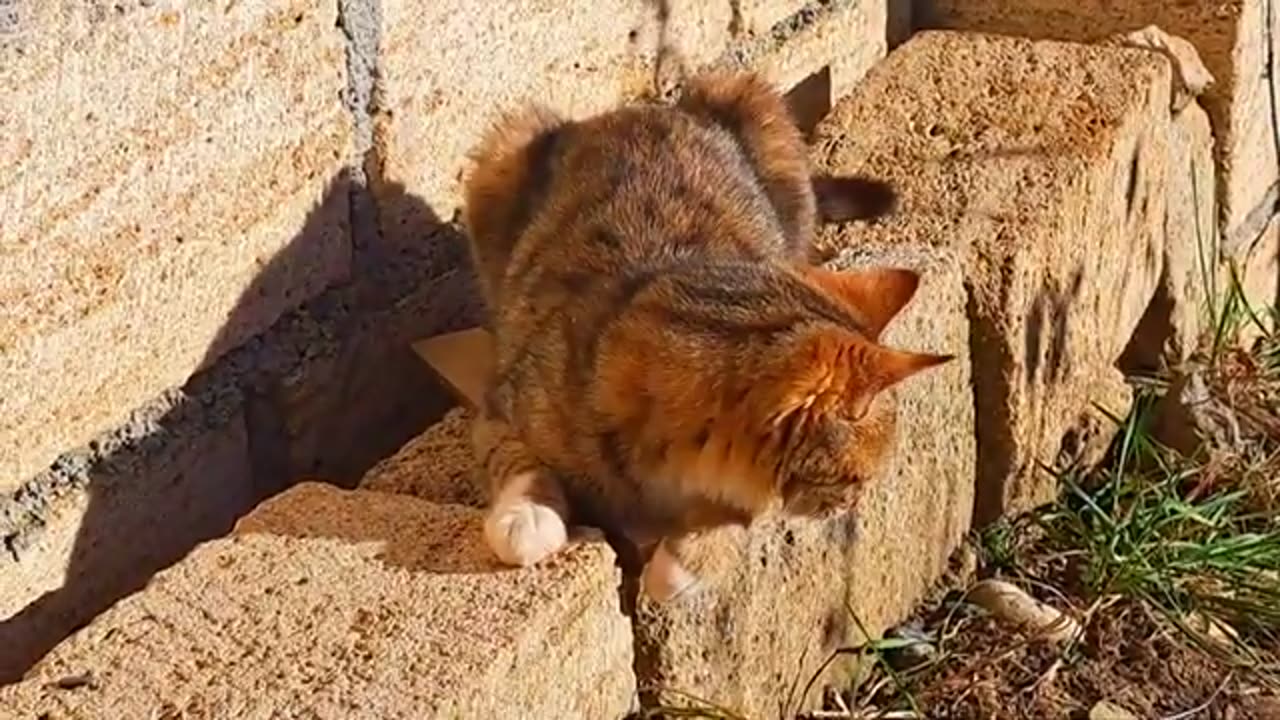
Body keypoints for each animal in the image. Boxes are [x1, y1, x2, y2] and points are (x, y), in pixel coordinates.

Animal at [460, 71, 952, 599]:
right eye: (855, 478)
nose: (851, 507)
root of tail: (642, 109)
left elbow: (735, 516)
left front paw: (679, 566)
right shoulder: (501, 403)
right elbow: (515, 459)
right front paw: (527, 519)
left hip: (758, 107)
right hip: (503, 149)